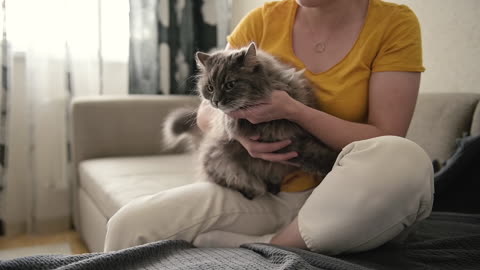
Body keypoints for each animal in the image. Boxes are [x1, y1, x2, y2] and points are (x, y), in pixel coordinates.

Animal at [165, 42, 338, 198]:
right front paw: (333, 162)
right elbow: (314, 155)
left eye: (230, 85)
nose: (215, 101)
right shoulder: (285, 145)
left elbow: (316, 154)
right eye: (210, 88)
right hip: (221, 162)